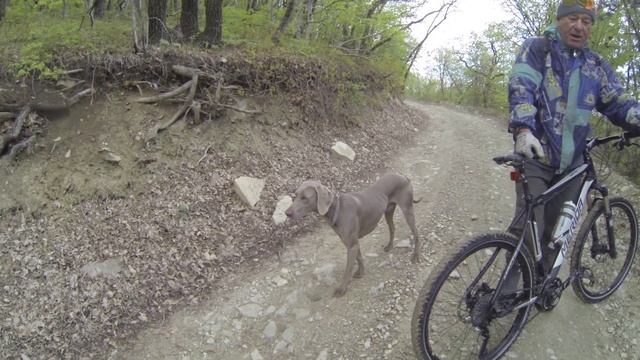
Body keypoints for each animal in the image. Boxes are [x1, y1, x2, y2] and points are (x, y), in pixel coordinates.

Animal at [284, 174, 420, 296]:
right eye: (295, 196)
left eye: (305, 197)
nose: (287, 213)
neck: (337, 209)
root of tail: (404, 176)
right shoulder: (351, 242)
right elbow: (359, 257)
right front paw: (361, 272)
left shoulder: (352, 244)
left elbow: (348, 269)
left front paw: (342, 288)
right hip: (388, 211)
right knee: (392, 228)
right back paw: (389, 246)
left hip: (407, 209)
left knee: (416, 232)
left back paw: (415, 256)